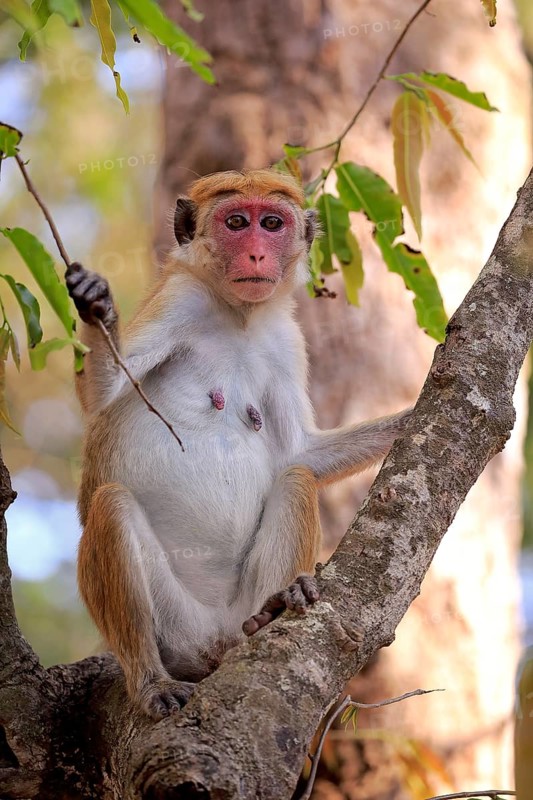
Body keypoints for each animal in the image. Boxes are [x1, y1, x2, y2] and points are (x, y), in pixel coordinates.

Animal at [66, 169, 411, 720]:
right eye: (235, 223)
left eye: (271, 223)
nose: (255, 254)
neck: (237, 316)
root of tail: (216, 640)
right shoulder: (179, 301)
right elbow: (103, 396)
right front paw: (93, 300)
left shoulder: (285, 338)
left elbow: (299, 455)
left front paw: (415, 414)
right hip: (177, 627)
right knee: (111, 505)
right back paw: (150, 680)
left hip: (237, 608)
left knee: (296, 481)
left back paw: (275, 607)